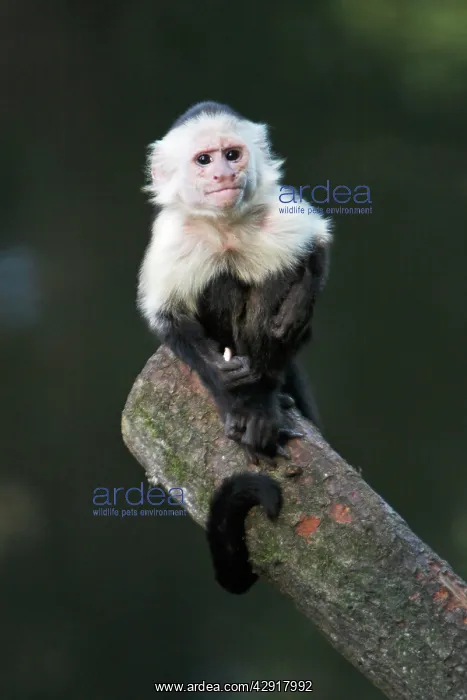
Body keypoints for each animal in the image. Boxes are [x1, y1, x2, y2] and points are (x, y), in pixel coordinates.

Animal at [137, 101, 332, 593]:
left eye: (232, 153)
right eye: (204, 159)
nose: (224, 173)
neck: (223, 226)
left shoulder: (281, 211)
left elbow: (316, 248)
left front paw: (297, 307)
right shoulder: (173, 238)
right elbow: (168, 318)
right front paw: (225, 384)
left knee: (271, 271)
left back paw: (269, 400)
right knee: (218, 278)